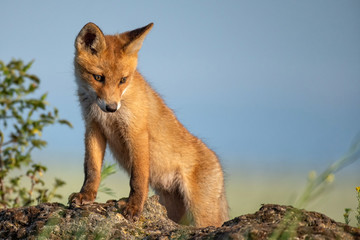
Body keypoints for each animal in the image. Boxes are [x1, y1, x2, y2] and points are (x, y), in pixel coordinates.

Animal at [69, 22, 229, 227]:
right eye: (98, 77)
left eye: (123, 80)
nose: (111, 107)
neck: (109, 117)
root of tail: (218, 166)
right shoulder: (93, 127)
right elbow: (92, 169)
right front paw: (86, 195)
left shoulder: (136, 132)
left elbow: (138, 178)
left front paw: (134, 207)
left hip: (201, 215)